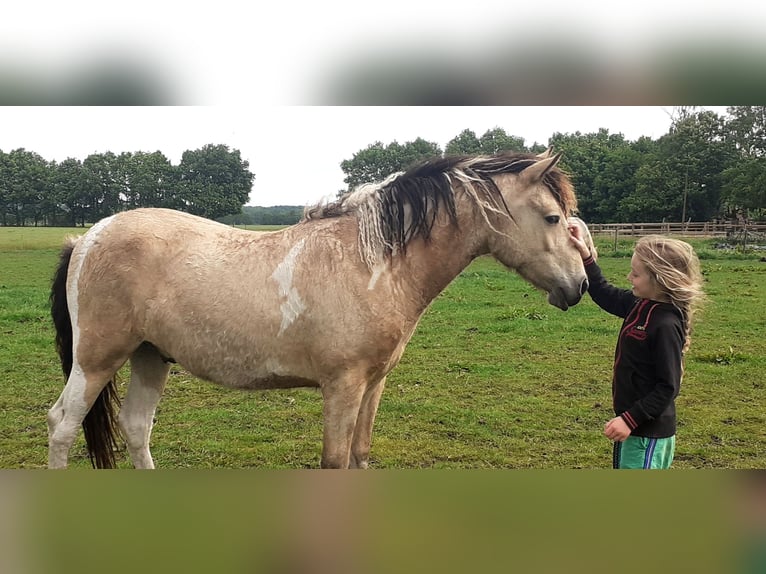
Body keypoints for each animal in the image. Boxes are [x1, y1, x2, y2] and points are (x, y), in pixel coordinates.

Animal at [48, 150, 589, 469]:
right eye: (552, 217)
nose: (580, 285)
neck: (373, 263)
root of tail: (86, 238)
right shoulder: (342, 385)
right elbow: (334, 462)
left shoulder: (373, 384)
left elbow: (360, 456)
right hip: (97, 359)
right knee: (63, 425)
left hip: (149, 355)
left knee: (136, 427)